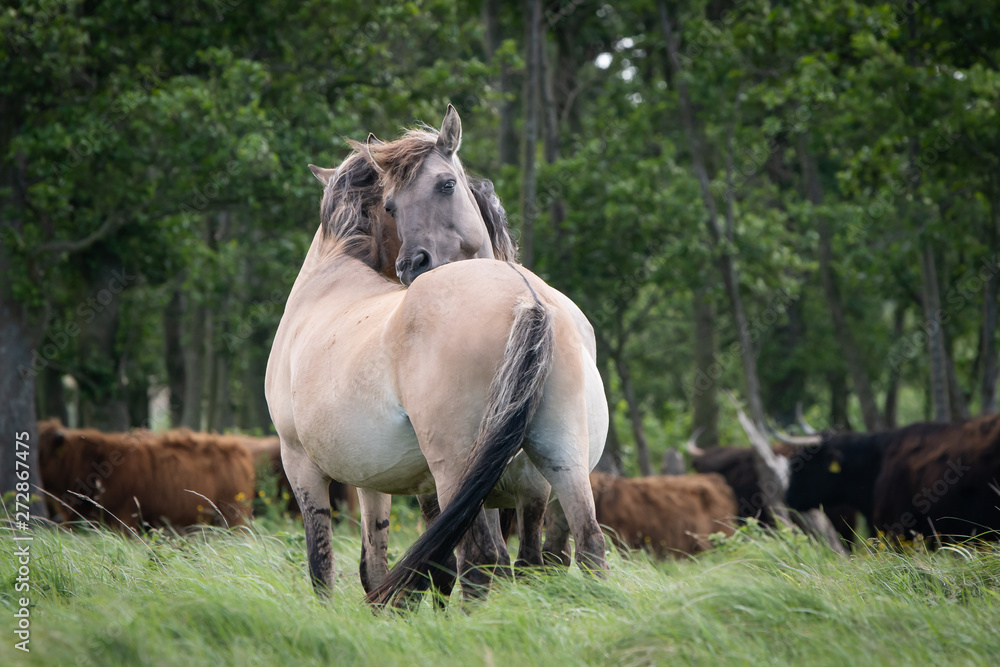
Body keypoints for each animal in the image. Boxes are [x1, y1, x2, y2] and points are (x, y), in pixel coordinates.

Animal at [266, 106, 609, 608]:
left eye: (446, 185)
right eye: (390, 206)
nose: (413, 265)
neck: (330, 271)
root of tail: (526, 299)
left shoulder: (306, 466)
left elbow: (328, 564)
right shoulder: (398, 480)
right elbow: (416, 566)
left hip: (461, 470)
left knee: (482, 559)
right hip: (560, 459)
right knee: (586, 547)